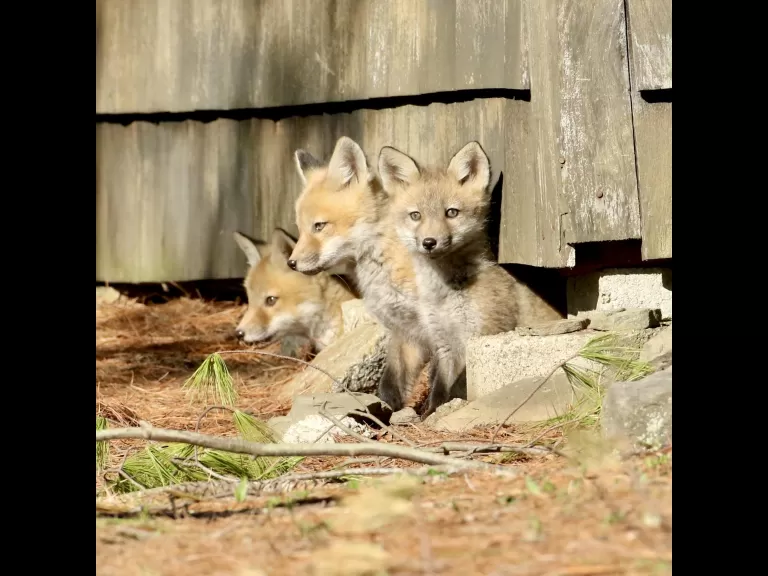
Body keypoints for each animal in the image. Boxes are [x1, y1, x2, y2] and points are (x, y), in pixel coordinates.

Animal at [378, 141, 563, 417]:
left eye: (451, 212)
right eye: (415, 215)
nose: (429, 242)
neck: (445, 295)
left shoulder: (479, 335)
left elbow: (453, 388)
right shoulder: (443, 343)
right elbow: (439, 390)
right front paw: (431, 413)